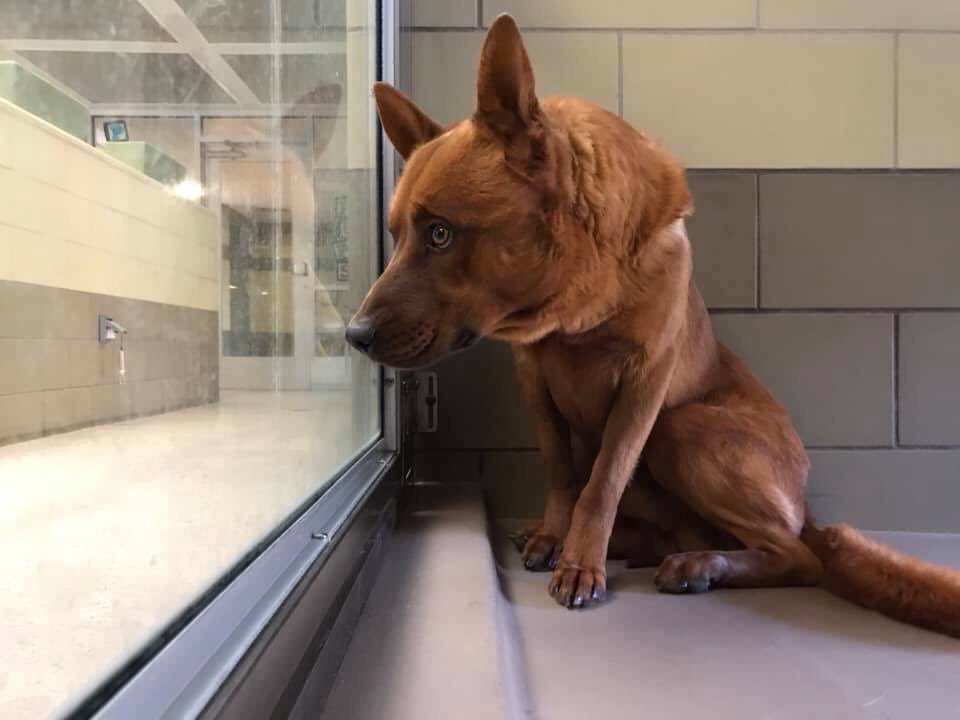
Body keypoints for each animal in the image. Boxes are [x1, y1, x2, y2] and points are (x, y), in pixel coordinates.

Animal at [347, 13, 960, 636]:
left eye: (440, 233)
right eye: (397, 235)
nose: (355, 336)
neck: (578, 301)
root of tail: (808, 508)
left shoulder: (646, 382)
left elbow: (602, 482)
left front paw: (581, 563)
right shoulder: (533, 377)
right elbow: (561, 469)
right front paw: (555, 535)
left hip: (681, 428)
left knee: (797, 557)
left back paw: (699, 563)